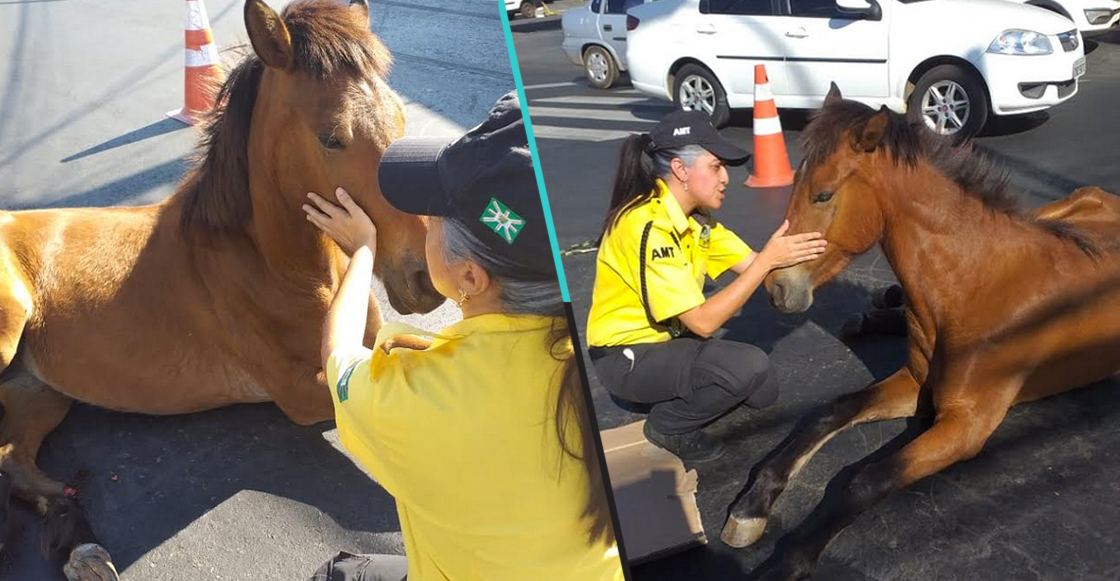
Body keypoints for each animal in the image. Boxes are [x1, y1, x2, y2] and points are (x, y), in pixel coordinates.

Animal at [0, 2, 443, 577]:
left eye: (401, 118)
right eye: (331, 137)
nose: (425, 276)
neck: (275, 267)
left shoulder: (370, 340)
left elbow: (425, 345)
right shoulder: (300, 390)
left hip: (40, 395)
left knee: (15, 463)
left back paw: (82, 547)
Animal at [716, 82, 1120, 581]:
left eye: (824, 195)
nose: (777, 288)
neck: (976, 285)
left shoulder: (966, 424)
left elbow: (866, 479)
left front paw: (787, 561)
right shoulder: (914, 383)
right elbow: (831, 412)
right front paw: (752, 504)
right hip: (1054, 211)